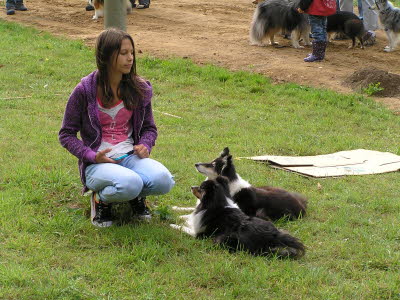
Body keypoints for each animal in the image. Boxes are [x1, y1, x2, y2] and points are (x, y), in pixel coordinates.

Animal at [170, 177, 304, 258]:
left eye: (201, 188)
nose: (192, 187)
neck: (216, 202)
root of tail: (273, 236)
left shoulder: (198, 234)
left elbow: (182, 227)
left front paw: (172, 224)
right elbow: (186, 217)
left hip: (223, 238)